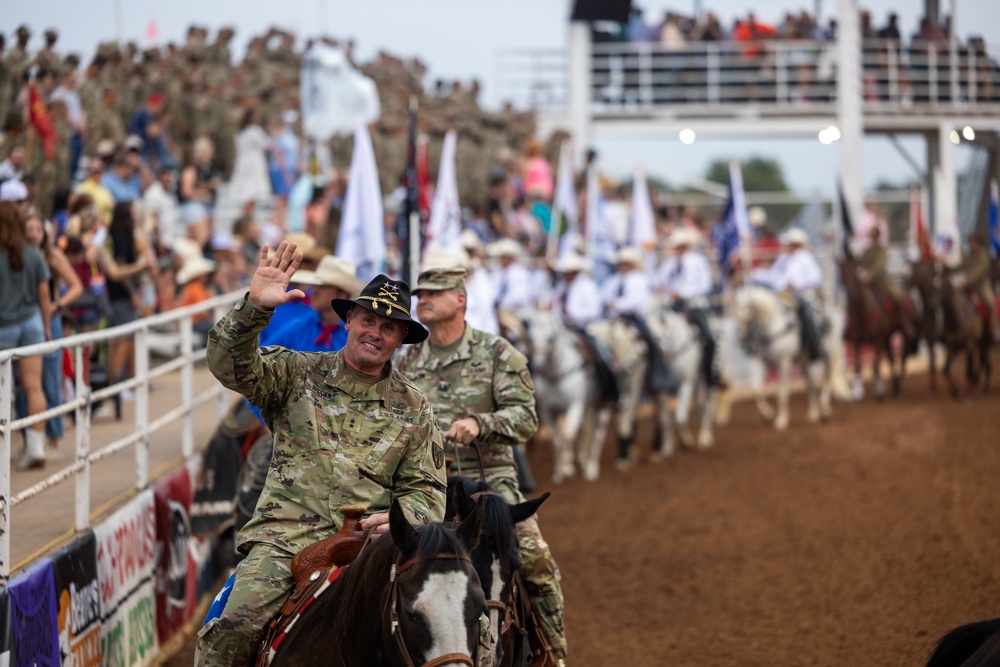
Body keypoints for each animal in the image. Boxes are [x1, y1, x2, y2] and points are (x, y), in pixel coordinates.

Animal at [520, 310, 612, 482]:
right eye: (531, 338)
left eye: (550, 338)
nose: (537, 365)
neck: (557, 375)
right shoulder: (547, 410)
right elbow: (556, 440)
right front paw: (561, 471)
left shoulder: (575, 404)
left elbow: (568, 435)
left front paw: (568, 469)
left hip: (601, 406)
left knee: (598, 435)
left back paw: (591, 468)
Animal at [732, 284, 832, 430]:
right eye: (733, 313)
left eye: (748, 316)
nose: (740, 341)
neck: (772, 330)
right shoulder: (760, 362)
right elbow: (756, 389)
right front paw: (768, 414)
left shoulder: (784, 363)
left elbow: (782, 392)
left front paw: (782, 420)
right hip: (804, 362)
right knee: (810, 385)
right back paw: (814, 414)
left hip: (827, 354)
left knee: (827, 378)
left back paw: (825, 409)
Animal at [840, 258, 916, 400]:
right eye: (841, 274)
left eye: (854, 272)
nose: (851, 294)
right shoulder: (856, 341)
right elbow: (857, 367)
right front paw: (857, 394)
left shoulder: (878, 340)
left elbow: (875, 366)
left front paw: (879, 393)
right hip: (888, 337)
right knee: (891, 359)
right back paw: (894, 387)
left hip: (903, 333)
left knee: (903, 356)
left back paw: (898, 388)